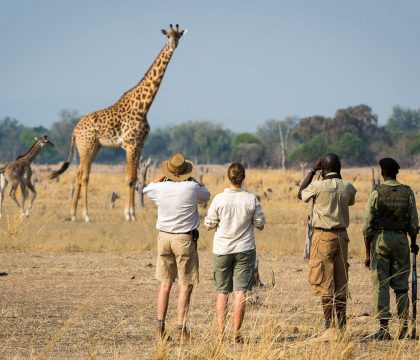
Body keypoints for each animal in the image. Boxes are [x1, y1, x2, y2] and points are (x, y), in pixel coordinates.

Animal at [49, 23, 187, 221]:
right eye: (168, 36)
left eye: (179, 36)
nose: (173, 45)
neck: (144, 106)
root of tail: (74, 131)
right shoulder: (130, 144)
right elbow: (129, 179)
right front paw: (129, 215)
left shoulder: (139, 145)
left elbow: (135, 178)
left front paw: (132, 214)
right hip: (86, 147)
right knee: (84, 176)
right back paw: (85, 215)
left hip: (93, 148)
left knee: (78, 174)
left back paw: (74, 214)